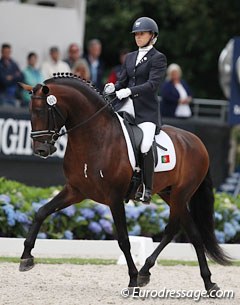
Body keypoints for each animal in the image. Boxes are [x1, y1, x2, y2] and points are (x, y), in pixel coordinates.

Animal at [19, 75, 231, 296]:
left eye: (42, 111)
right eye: (31, 112)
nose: (41, 150)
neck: (95, 137)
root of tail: (197, 141)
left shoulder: (114, 198)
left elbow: (123, 240)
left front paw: (132, 281)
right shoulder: (75, 191)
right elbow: (42, 212)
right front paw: (26, 257)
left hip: (181, 194)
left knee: (180, 230)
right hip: (169, 194)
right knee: (187, 231)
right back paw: (194, 280)